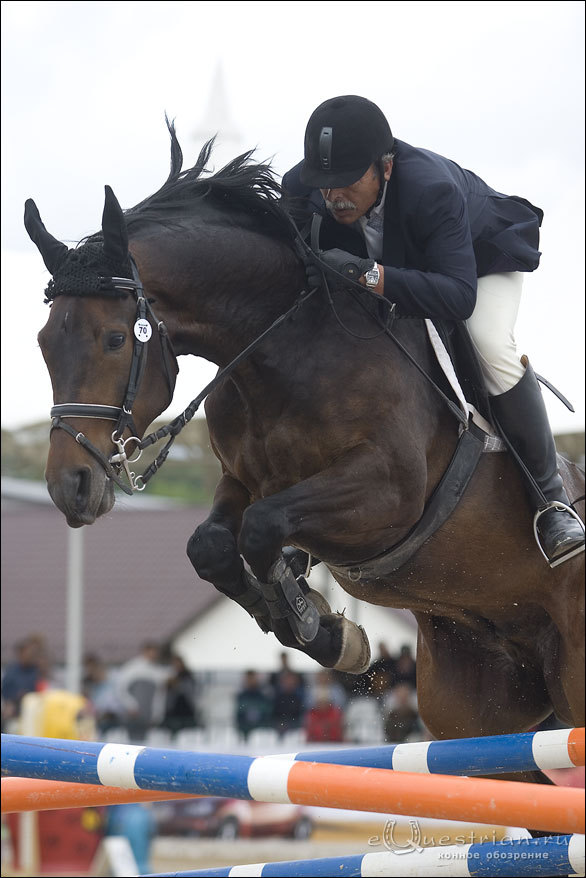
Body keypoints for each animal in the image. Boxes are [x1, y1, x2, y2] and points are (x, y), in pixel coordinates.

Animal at [25, 120, 580, 768]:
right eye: (43, 342)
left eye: (115, 339)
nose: (71, 487)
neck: (285, 348)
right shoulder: (244, 480)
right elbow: (212, 544)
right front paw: (320, 625)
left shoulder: (388, 493)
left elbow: (262, 527)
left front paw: (318, 625)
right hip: (478, 705)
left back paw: (560, 526)